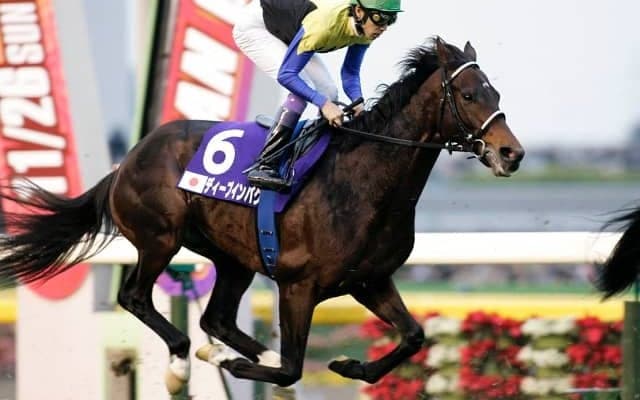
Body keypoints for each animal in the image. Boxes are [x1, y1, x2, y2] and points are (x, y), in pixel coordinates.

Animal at [0, 37, 524, 393]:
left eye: (497, 95)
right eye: (470, 95)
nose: (511, 153)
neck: (364, 182)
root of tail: (125, 162)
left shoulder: (368, 280)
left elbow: (413, 336)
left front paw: (350, 366)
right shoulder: (299, 285)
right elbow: (292, 370)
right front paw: (237, 366)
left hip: (234, 258)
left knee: (215, 320)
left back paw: (233, 349)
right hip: (159, 238)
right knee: (136, 297)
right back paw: (184, 363)